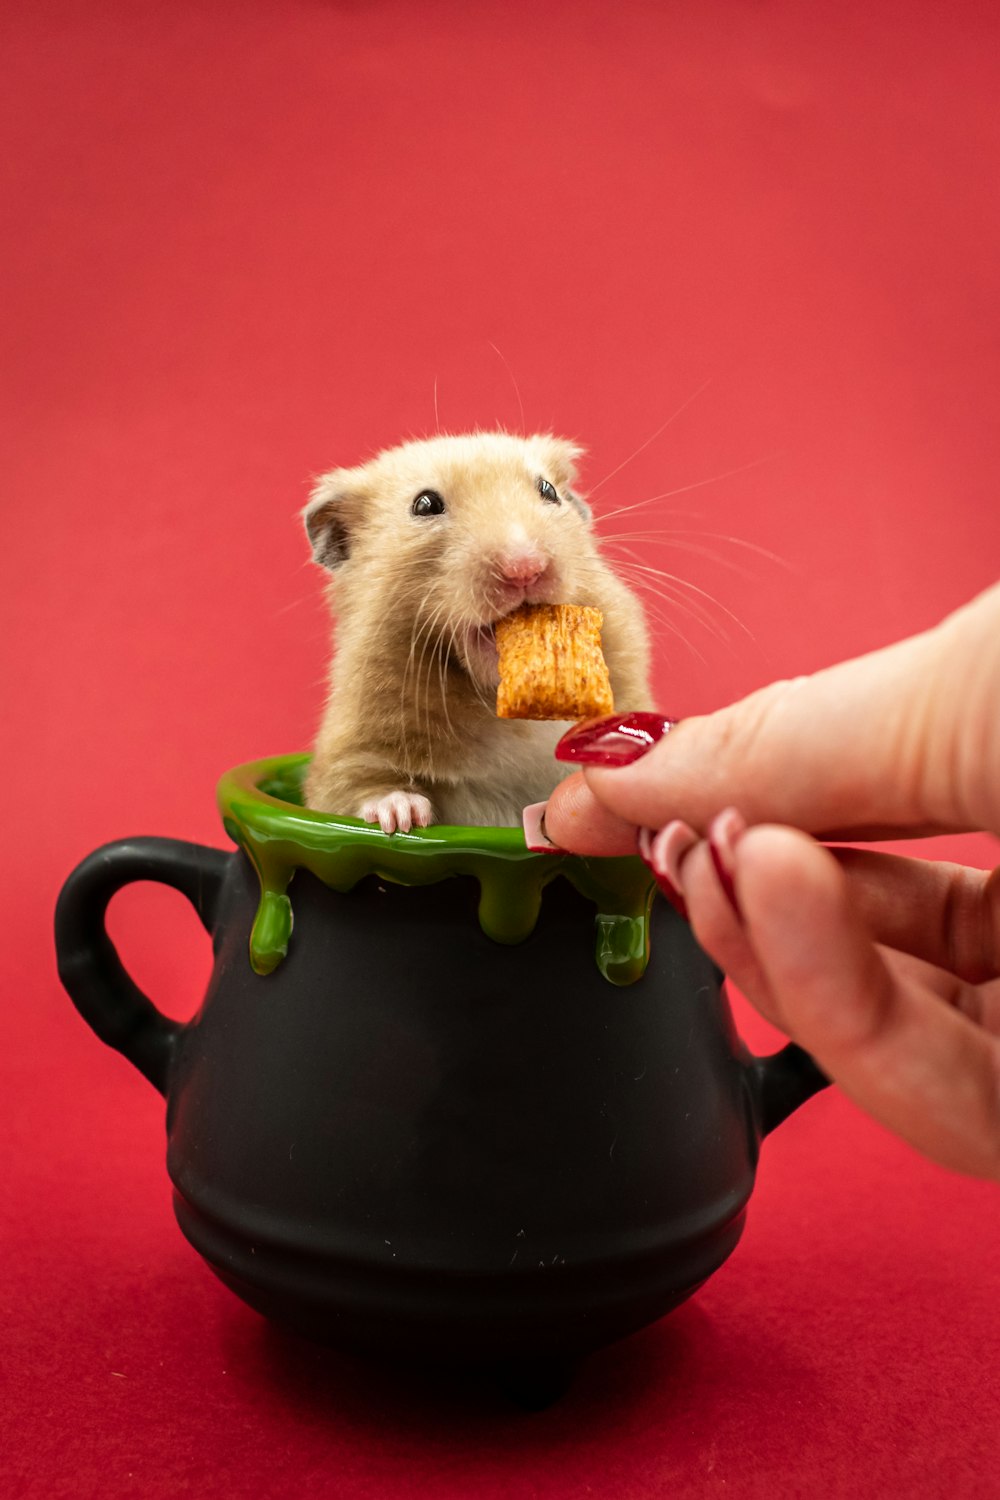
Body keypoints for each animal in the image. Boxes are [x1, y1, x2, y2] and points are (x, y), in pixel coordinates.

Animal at [301, 432, 653, 834]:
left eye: (548, 490)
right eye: (425, 505)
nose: (525, 568)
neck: (495, 703)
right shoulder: (348, 749)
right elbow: (357, 788)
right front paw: (404, 816)